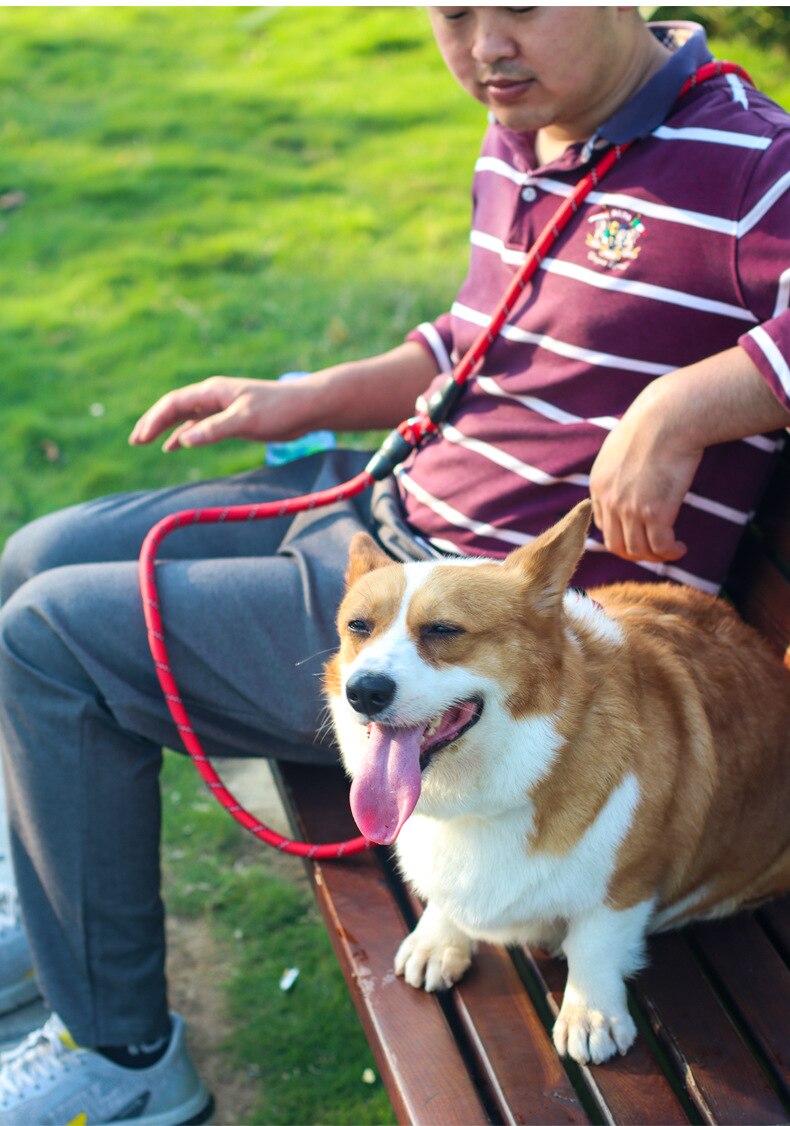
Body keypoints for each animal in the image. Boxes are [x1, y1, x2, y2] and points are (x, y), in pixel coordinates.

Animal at [324, 502, 790, 1062]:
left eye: (443, 629)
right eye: (358, 626)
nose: (363, 692)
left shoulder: (628, 879)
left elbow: (596, 940)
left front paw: (591, 1015)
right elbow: (444, 896)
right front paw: (438, 940)